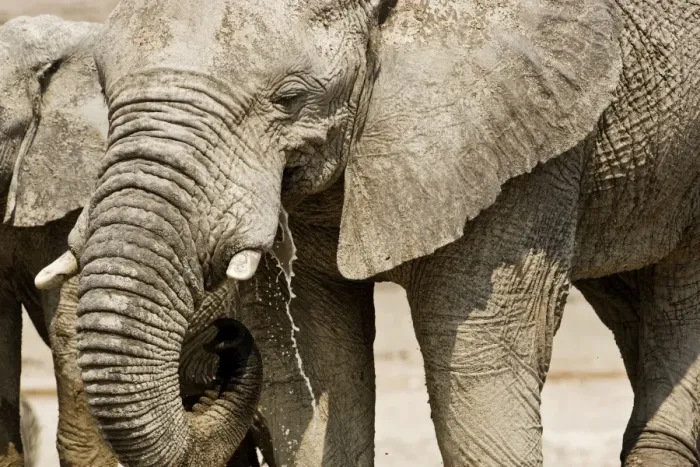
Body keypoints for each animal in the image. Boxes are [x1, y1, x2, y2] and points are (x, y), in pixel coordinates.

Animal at [38, 0, 700, 465]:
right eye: (104, 90)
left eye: (289, 98)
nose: (226, 338)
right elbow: (318, 359)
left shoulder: (524, 130)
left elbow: (482, 357)